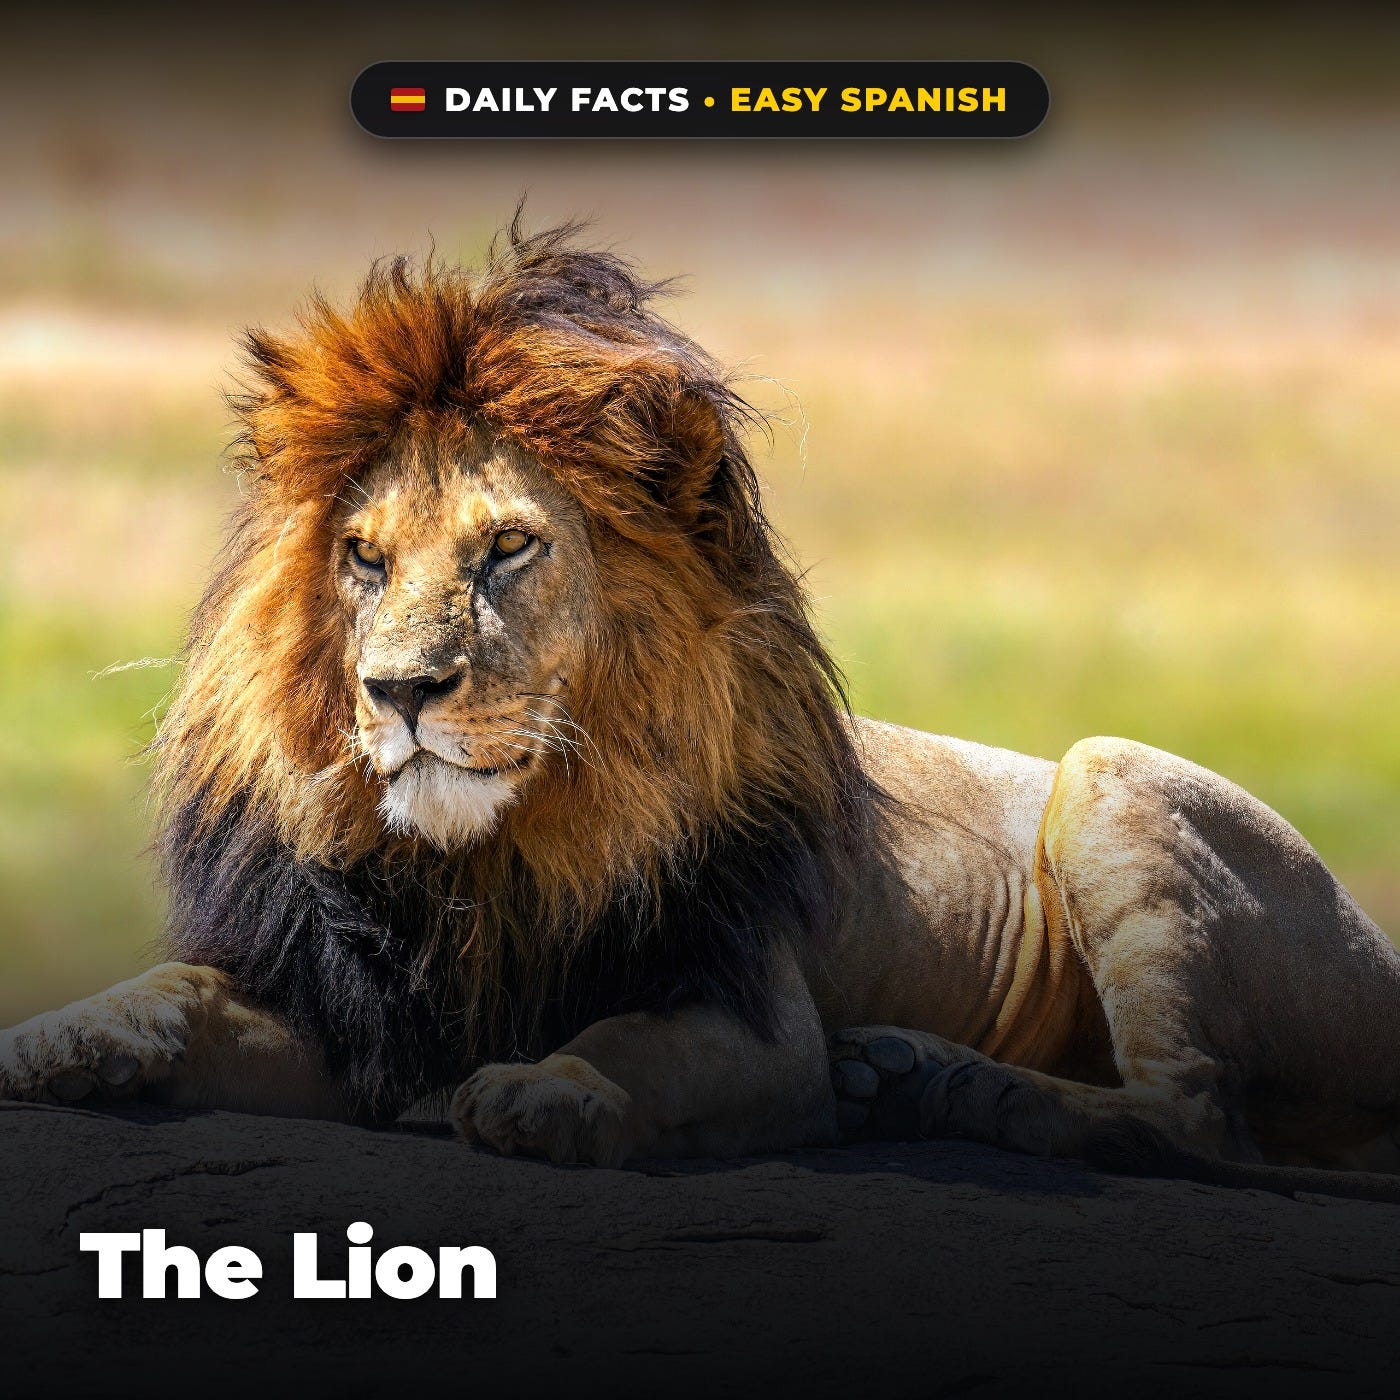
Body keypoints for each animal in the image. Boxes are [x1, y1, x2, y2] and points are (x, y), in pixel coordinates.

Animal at [5, 220, 1400, 1199]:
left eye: (507, 547)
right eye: (362, 556)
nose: (397, 690)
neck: (492, 860)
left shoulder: (754, 1020)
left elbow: (632, 1046)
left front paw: (548, 1093)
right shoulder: (355, 1016)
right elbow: (178, 986)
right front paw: (62, 1032)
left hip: (1114, 773)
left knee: (1193, 1121)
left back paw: (947, 1089)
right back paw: (909, 1075)